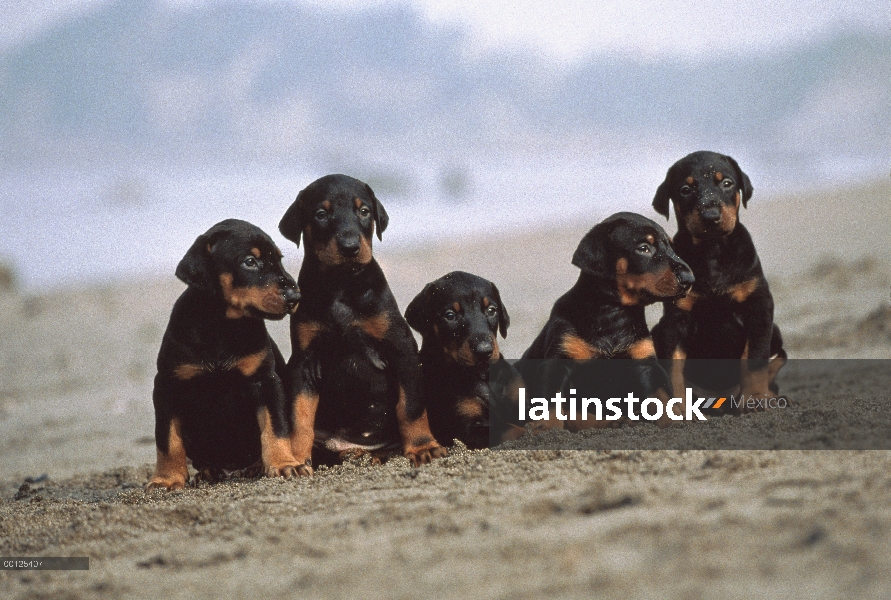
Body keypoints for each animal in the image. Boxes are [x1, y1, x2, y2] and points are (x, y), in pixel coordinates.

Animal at [145, 218, 302, 490]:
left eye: (279, 259)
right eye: (250, 261)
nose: (295, 296)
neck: (221, 326)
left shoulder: (265, 380)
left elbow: (275, 426)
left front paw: (283, 464)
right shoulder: (167, 385)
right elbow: (167, 439)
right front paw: (166, 479)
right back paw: (209, 472)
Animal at [278, 173, 446, 468]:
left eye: (364, 211)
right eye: (321, 214)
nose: (350, 248)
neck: (341, 284)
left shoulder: (401, 347)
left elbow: (411, 406)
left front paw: (423, 446)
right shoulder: (303, 361)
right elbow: (299, 414)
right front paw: (296, 458)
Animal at [406, 272, 528, 450]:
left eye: (491, 310)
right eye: (450, 316)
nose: (484, 351)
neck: (482, 376)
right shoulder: (468, 427)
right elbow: (513, 429)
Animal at [524, 213, 696, 428]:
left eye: (672, 249)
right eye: (643, 248)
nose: (690, 279)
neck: (613, 314)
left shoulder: (646, 364)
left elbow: (663, 396)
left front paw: (675, 422)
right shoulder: (557, 362)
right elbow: (550, 402)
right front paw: (548, 428)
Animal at [648, 151, 788, 412]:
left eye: (727, 183)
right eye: (685, 189)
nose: (711, 216)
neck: (712, 250)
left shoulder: (759, 307)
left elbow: (755, 358)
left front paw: (755, 397)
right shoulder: (675, 319)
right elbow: (673, 367)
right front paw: (678, 407)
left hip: (774, 330)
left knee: (779, 358)